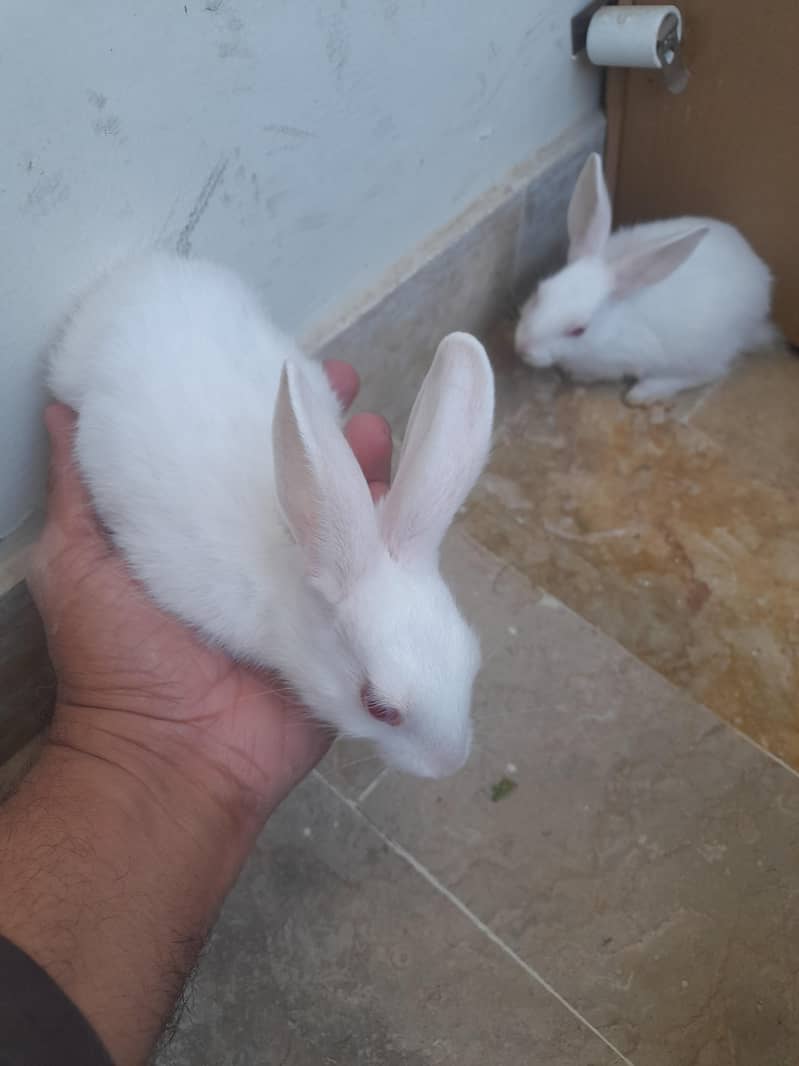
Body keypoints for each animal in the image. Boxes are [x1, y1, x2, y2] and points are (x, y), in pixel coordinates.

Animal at [514, 152, 774, 405]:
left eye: (579, 330)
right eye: (539, 292)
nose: (523, 346)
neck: (614, 327)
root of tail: (760, 277)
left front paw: (581, 376)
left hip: (701, 352)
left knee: (711, 373)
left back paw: (645, 392)